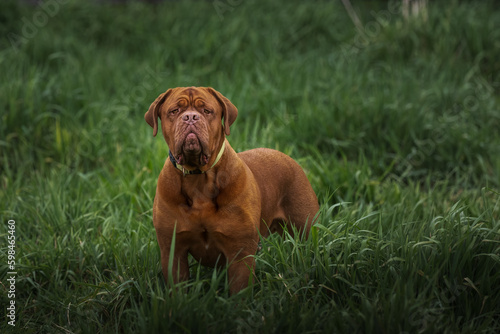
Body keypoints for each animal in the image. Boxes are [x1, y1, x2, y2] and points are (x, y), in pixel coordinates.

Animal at [145, 87, 318, 294]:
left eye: (207, 111)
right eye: (174, 111)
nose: (190, 117)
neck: (198, 178)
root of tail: (287, 157)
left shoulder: (240, 254)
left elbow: (239, 292)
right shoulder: (173, 252)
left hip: (305, 230)